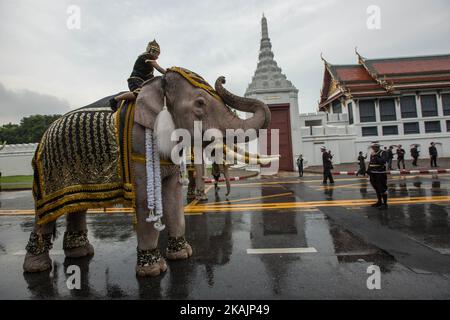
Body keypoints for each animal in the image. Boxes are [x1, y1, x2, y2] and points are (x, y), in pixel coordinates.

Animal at [22, 67, 270, 278]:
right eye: (200, 103)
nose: (223, 78)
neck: (158, 86)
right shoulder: (138, 147)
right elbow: (143, 201)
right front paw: (153, 270)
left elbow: (173, 196)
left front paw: (183, 255)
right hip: (50, 172)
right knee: (45, 215)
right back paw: (37, 267)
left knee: (77, 207)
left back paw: (81, 253)